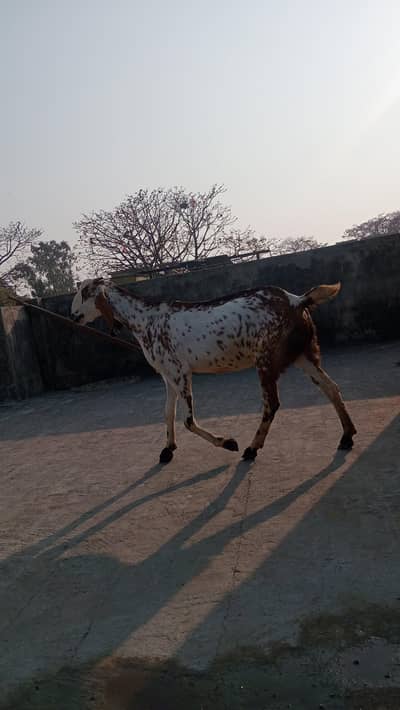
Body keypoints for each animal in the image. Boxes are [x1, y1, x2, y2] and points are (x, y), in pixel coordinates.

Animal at [71, 278, 356, 463]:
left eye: (85, 292)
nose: (73, 316)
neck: (146, 320)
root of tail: (297, 301)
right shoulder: (167, 375)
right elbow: (167, 412)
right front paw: (168, 449)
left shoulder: (180, 373)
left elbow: (188, 420)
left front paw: (228, 442)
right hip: (302, 355)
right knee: (330, 387)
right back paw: (347, 436)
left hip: (266, 360)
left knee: (272, 404)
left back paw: (251, 448)